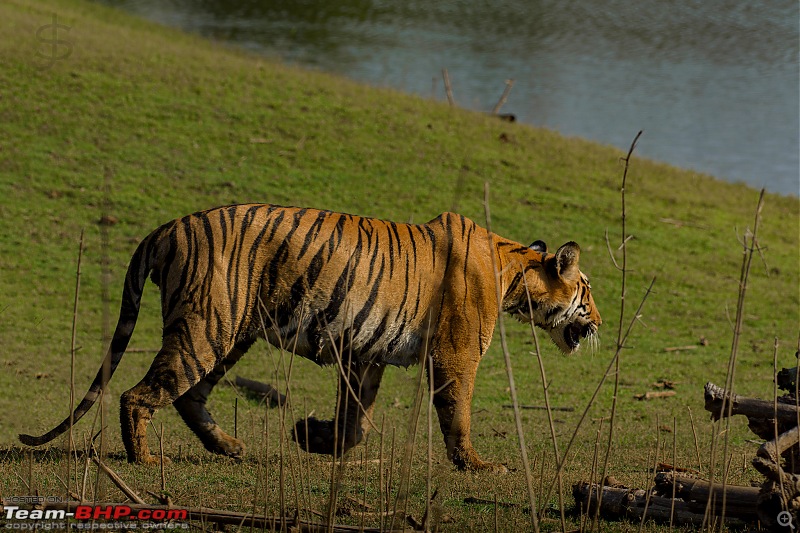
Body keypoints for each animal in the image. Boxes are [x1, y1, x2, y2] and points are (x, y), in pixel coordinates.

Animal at [18, 203, 600, 470]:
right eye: (587, 291)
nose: (597, 322)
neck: (512, 271)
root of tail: (170, 226)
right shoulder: (456, 358)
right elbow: (457, 416)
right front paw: (477, 465)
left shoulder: (366, 357)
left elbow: (355, 424)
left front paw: (310, 436)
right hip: (207, 329)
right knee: (138, 395)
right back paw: (144, 460)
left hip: (228, 335)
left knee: (188, 396)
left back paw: (230, 447)